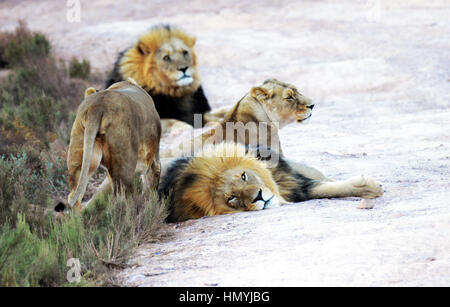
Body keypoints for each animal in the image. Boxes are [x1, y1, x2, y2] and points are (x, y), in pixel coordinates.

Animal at [62, 80, 161, 213]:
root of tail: (98, 106)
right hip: (124, 161)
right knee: (124, 196)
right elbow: (153, 180)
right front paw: (153, 205)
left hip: (79, 150)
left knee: (74, 196)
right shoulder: (154, 157)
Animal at [159, 143, 384, 223]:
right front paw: (370, 188)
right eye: (232, 198)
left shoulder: (293, 181)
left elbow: (326, 187)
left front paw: (370, 187)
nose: (259, 197)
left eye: (244, 176)